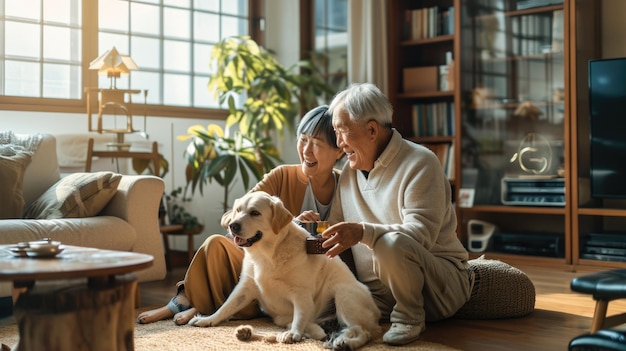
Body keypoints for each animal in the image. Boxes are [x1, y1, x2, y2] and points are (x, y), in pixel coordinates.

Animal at [188, 192, 378, 351]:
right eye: (238, 210)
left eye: (255, 213)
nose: (232, 225)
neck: (267, 254)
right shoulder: (245, 287)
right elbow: (225, 307)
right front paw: (207, 319)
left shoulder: (301, 293)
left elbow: (299, 315)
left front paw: (294, 333)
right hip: (284, 317)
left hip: (344, 295)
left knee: (362, 331)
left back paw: (344, 342)